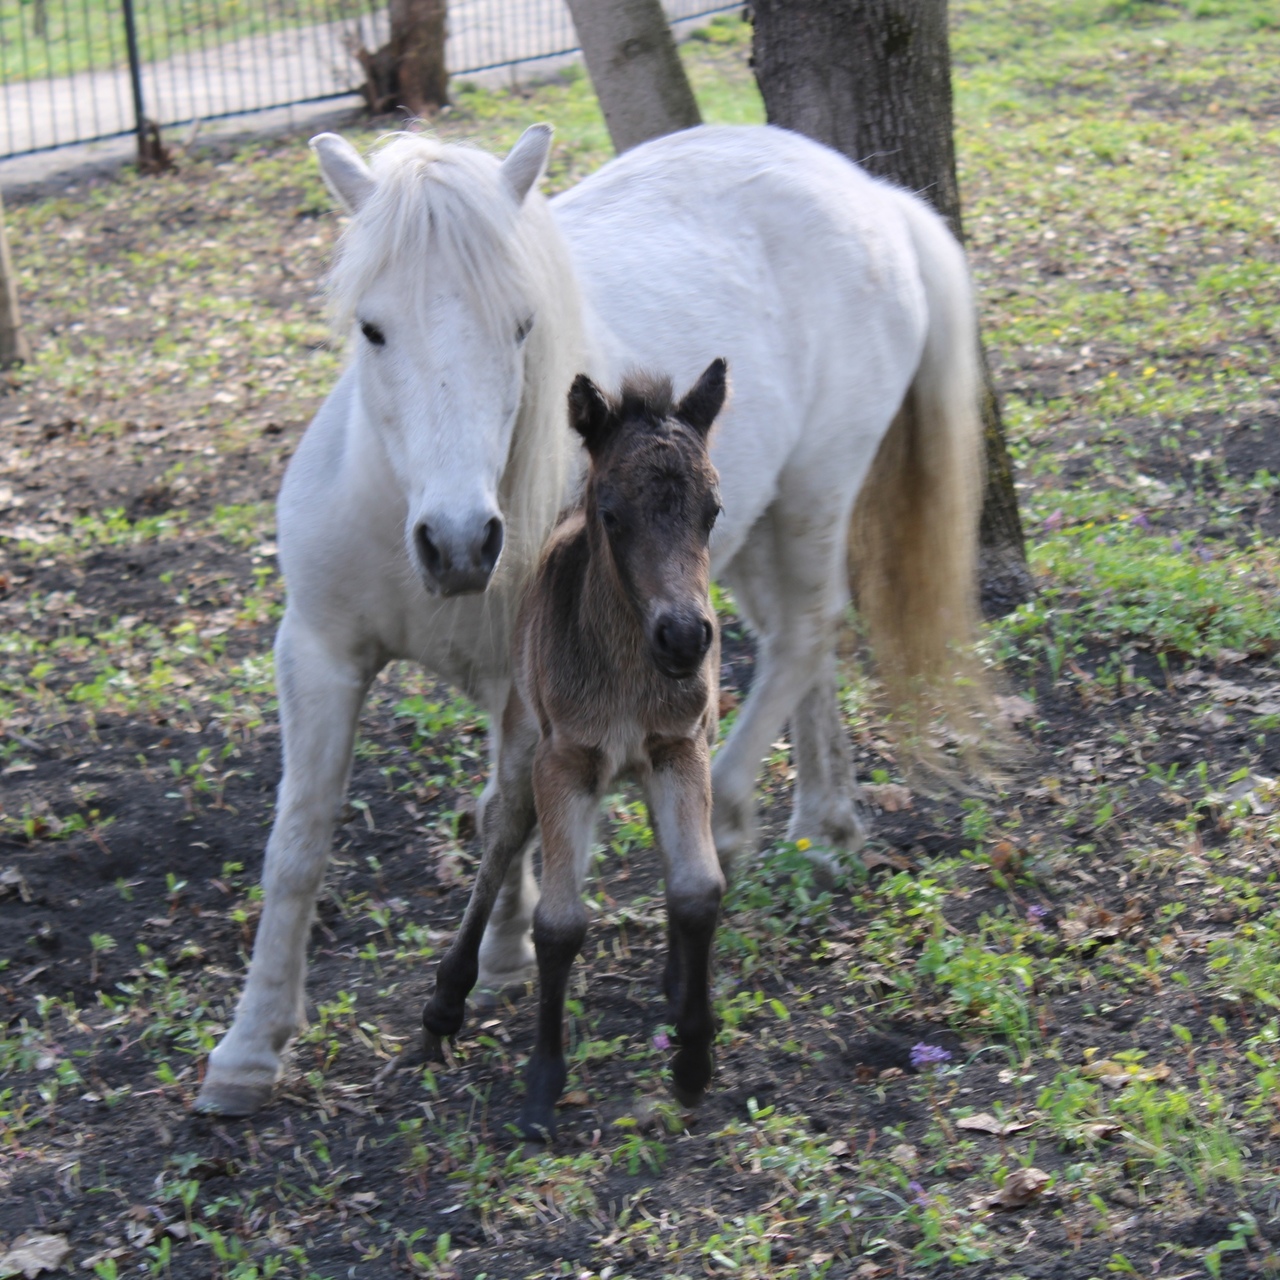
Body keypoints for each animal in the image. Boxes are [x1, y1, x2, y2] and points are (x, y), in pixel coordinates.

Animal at [422, 358, 732, 1141]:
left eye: (713, 511)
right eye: (613, 515)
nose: (685, 638)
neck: (627, 669)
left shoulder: (680, 747)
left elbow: (697, 888)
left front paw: (693, 1059)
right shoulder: (563, 763)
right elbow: (558, 923)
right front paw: (541, 1087)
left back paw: (676, 984)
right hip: (523, 742)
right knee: (502, 834)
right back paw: (443, 1005)